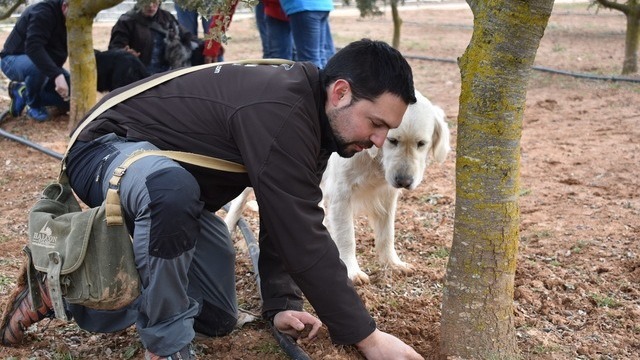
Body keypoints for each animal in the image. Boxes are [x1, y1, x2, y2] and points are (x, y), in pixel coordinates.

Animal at [225, 89, 450, 284]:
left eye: (421, 144)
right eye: (392, 140)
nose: (404, 181)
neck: (374, 159)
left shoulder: (386, 195)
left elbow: (387, 234)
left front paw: (392, 262)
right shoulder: (341, 194)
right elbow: (346, 236)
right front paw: (352, 270)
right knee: (239, 201)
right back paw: (227, 225)